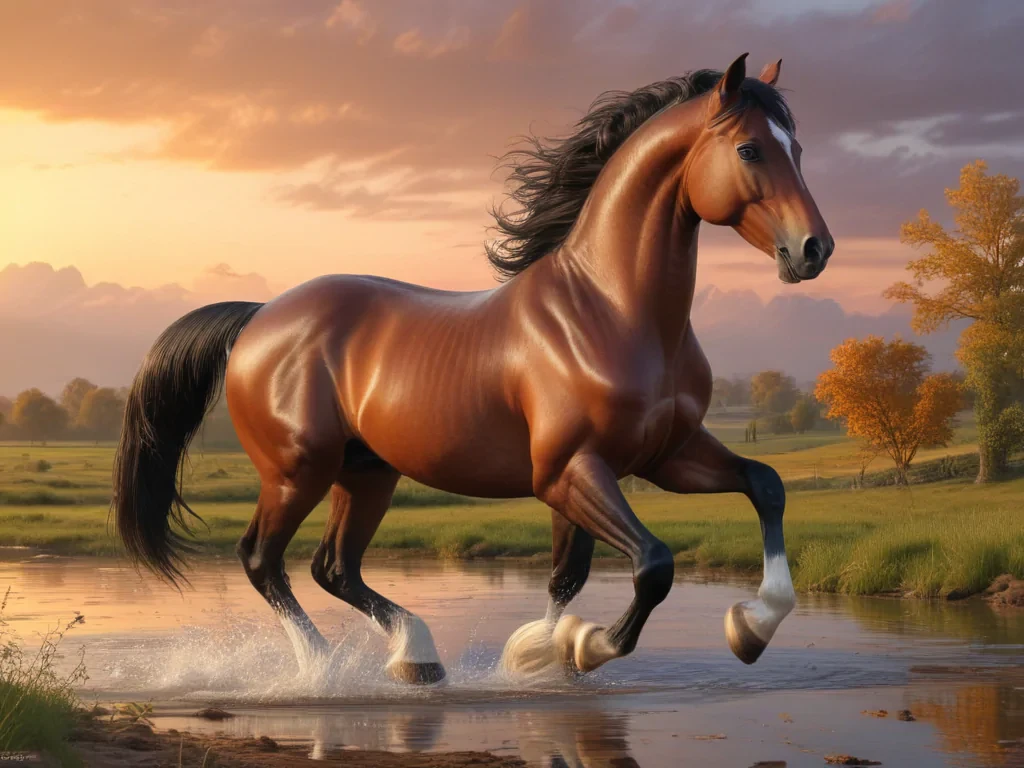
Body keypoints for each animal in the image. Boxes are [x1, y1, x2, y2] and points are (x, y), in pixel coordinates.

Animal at [112, 54, 832, 685]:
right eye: (750, 150)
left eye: (797, 149)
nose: (814, 249)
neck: (612, 310)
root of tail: (261, 316)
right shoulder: (567, 471)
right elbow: (651, 563)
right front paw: (584, 647)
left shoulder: (664, 457)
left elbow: (762, 487)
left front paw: (748, 627)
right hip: (296, 471)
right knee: (263, 561)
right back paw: (322, 670)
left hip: (365, 472)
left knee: (334, 568)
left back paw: (417, 658)